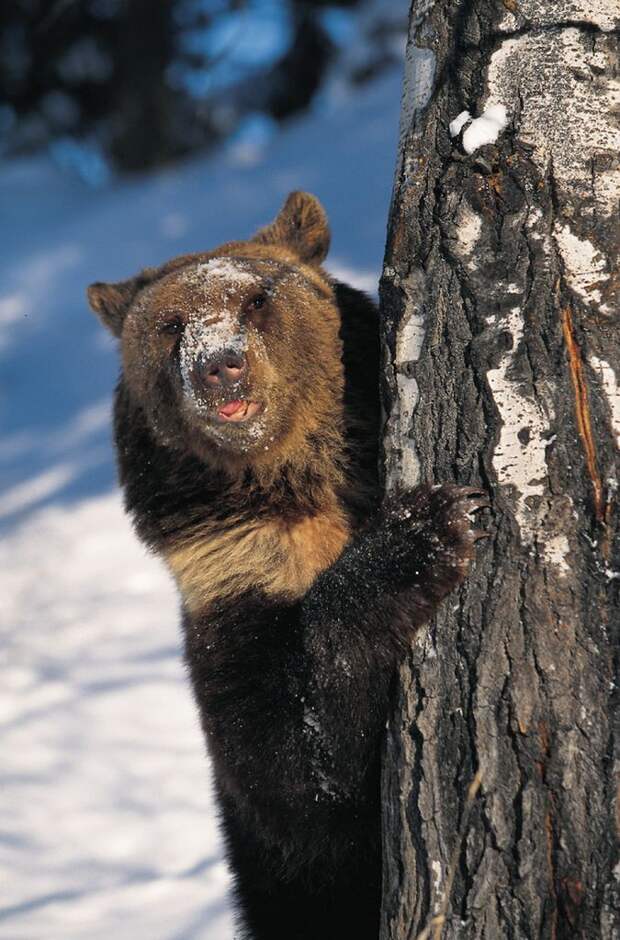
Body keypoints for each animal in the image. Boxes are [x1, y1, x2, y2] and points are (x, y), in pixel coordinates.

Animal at [87, 193, 486, 940]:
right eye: (170, 325)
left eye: (256, 298)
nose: (219, 365)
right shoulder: (234, 585)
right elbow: (295, 765)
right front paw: (425, 526)